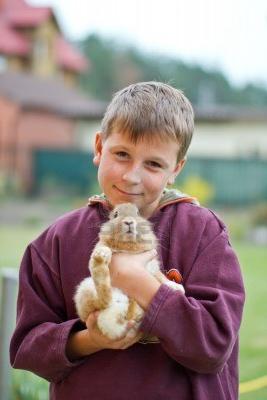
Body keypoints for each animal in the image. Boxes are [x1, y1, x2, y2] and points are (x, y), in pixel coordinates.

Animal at [74, 203, 185, 340]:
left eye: (138, 213)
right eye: (116, 214)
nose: (128, 222)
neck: (128, 245)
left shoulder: (153, 267)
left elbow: (161, 277)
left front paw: (176, 287)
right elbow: (103, 249)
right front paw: (103, 252)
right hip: (85, 289)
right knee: (103, 299)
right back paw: (100, 259)